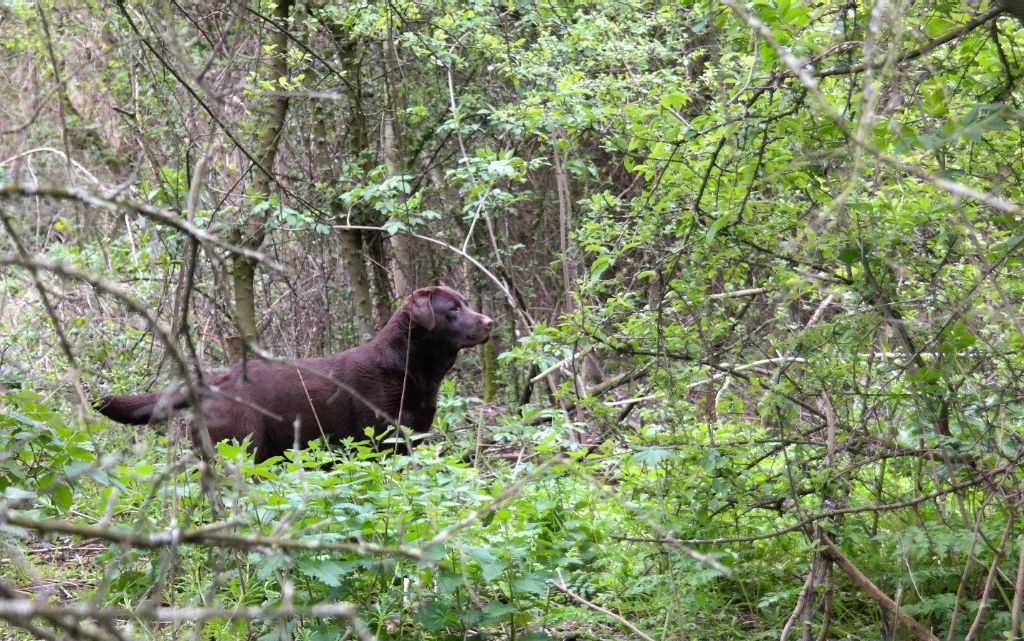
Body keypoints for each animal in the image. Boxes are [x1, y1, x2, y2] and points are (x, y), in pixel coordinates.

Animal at [94, 284, 493, 458]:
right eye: (453, 309)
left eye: (465, 303)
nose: (490, 322)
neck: (405, 367)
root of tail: (213, 380)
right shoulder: (380, 444)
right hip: (239, 446)